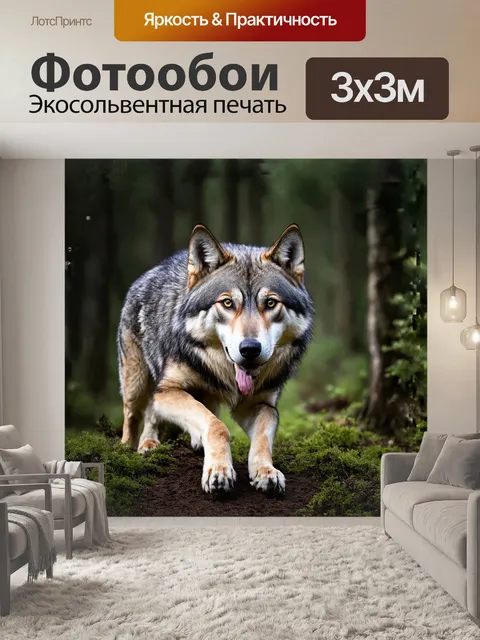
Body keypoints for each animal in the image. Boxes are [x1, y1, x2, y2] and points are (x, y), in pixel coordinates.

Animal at [117, 224, 314, 494]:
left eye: (271, 303)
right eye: (228, 303)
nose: (250, 349)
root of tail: (146, 275)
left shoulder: (261, 405)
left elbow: (262, 438)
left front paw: (265, 471)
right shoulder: (168, 391)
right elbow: (218, 426)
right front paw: (218, 472)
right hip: (137, 384)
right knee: (136, 415)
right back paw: (136, 447)